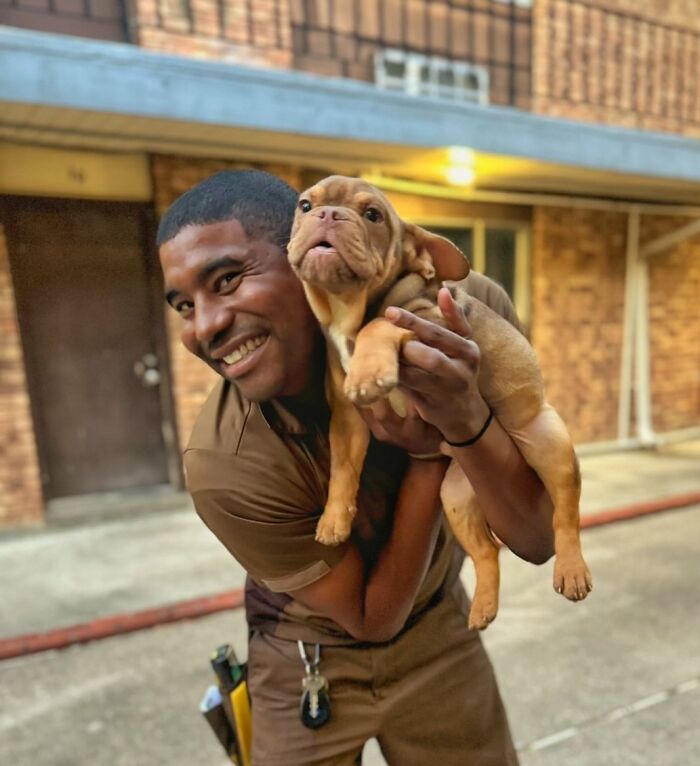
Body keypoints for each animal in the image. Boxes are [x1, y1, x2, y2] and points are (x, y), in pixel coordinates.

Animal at [286, 176, 592, 632]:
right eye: (305, 205)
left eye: (373, 215)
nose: (328, 214)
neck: (347, 308)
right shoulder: (348, 418)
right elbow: (343, 468)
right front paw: (334, 519)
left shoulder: (429, 323)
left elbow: (383, 322)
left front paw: (369, 367)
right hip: (456, 497)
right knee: (487, 552)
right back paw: (483, 607)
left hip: (548, 443)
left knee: (565, 513)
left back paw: (571, 570)